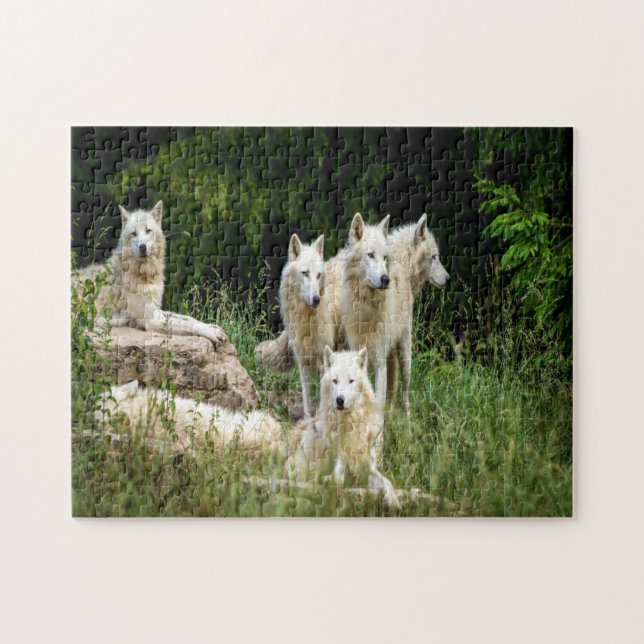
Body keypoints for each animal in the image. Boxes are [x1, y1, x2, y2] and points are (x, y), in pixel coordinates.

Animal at [74, 201, 226, 346]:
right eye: (134, 234)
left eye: (148, 231)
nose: (142, 247)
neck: (144, 275)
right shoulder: (151, 319)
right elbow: (186, 324)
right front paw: (212, 333)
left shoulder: (156, 310)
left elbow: (187, 318)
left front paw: (212, 326)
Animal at [292, 347, 400, 508]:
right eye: (335, 381)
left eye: (351, 381)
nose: (340, 400)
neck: (350, 424)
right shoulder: (340, 462)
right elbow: (338, 479)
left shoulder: (369, 468)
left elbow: (387, 482)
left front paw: (393, 501)